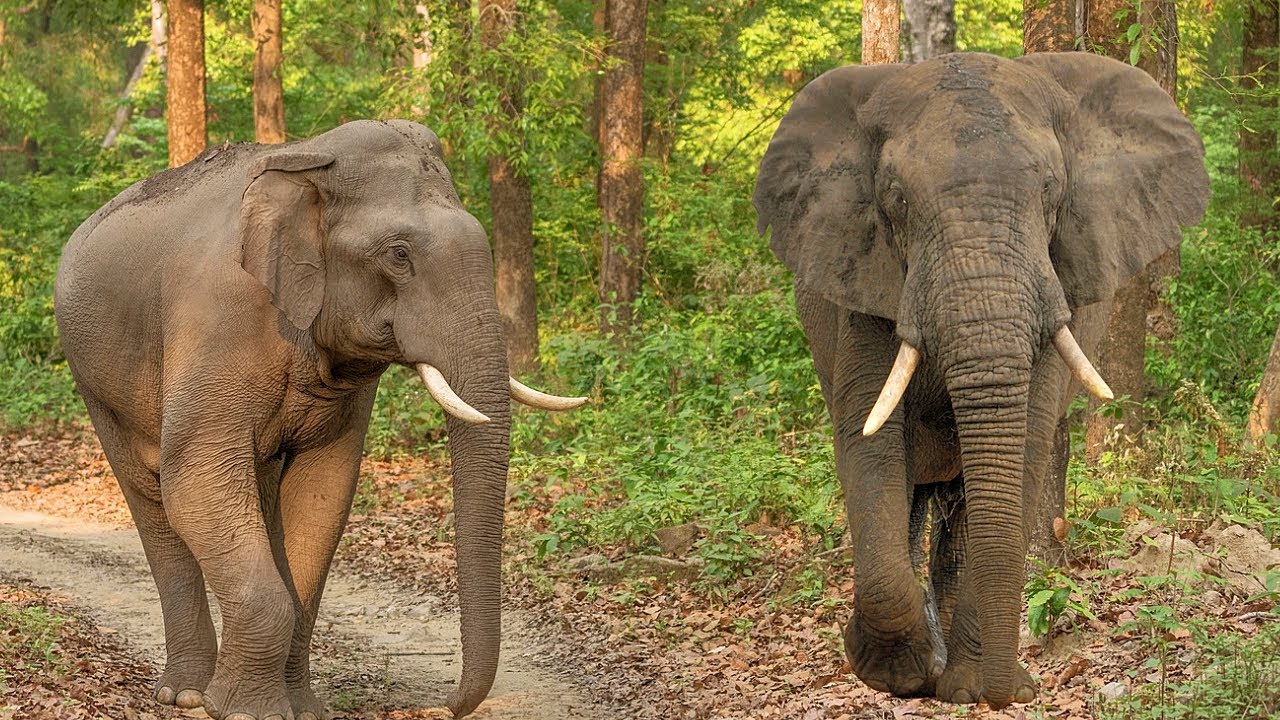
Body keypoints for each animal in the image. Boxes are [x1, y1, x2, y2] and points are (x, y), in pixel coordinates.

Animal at [54, 120, 585, 720]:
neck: (310, 162)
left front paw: (302, 709)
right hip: (95, 380)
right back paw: (185, 694)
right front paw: (245, 711)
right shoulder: (215, 323)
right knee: (152, 497)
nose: (443, 704)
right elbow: (195, 482)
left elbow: (323, 492)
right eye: (398, 254)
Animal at [753, 52, 1208, 708]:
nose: (1010, 694)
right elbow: (868, 439)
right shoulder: (866, 285)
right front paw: (894, 675)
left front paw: (966, 689)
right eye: (894, 199)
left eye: (1050, 191)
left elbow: (1025, 443)